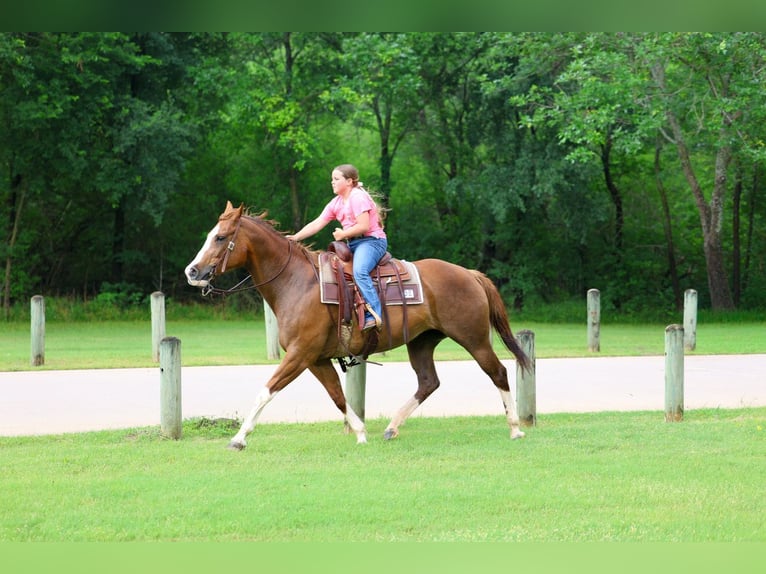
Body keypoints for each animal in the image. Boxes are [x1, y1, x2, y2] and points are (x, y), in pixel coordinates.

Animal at [185, 201, 531, 450]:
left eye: (220, 237)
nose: (192, 271)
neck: (297, 282)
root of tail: (470, 274)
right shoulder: (317, 359)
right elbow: (338, 397)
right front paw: (361, 432)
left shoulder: (299, 354)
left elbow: (266, 391)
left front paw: (239, 438)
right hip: (422, 341)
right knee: (428, 382)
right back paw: (391, 427)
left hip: (474, 338)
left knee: (498, 372)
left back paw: (515, 429)